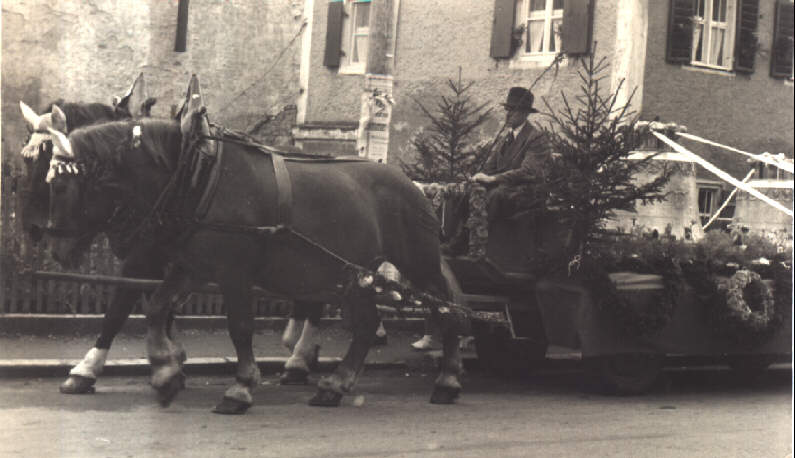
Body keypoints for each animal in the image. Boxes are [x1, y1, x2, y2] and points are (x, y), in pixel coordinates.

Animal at [43, 116, 464, 414]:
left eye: (59, 185)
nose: (56, 250)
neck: (198, 177)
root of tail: (412, 183)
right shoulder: (191, 267)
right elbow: (156, 309)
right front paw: (165, 373)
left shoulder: (234, 273)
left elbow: (240, 328)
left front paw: (240, 389)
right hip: (353, 274)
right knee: (365, 326)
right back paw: (335, 386)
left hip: (418, 262)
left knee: (448, 312)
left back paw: (447, 381)